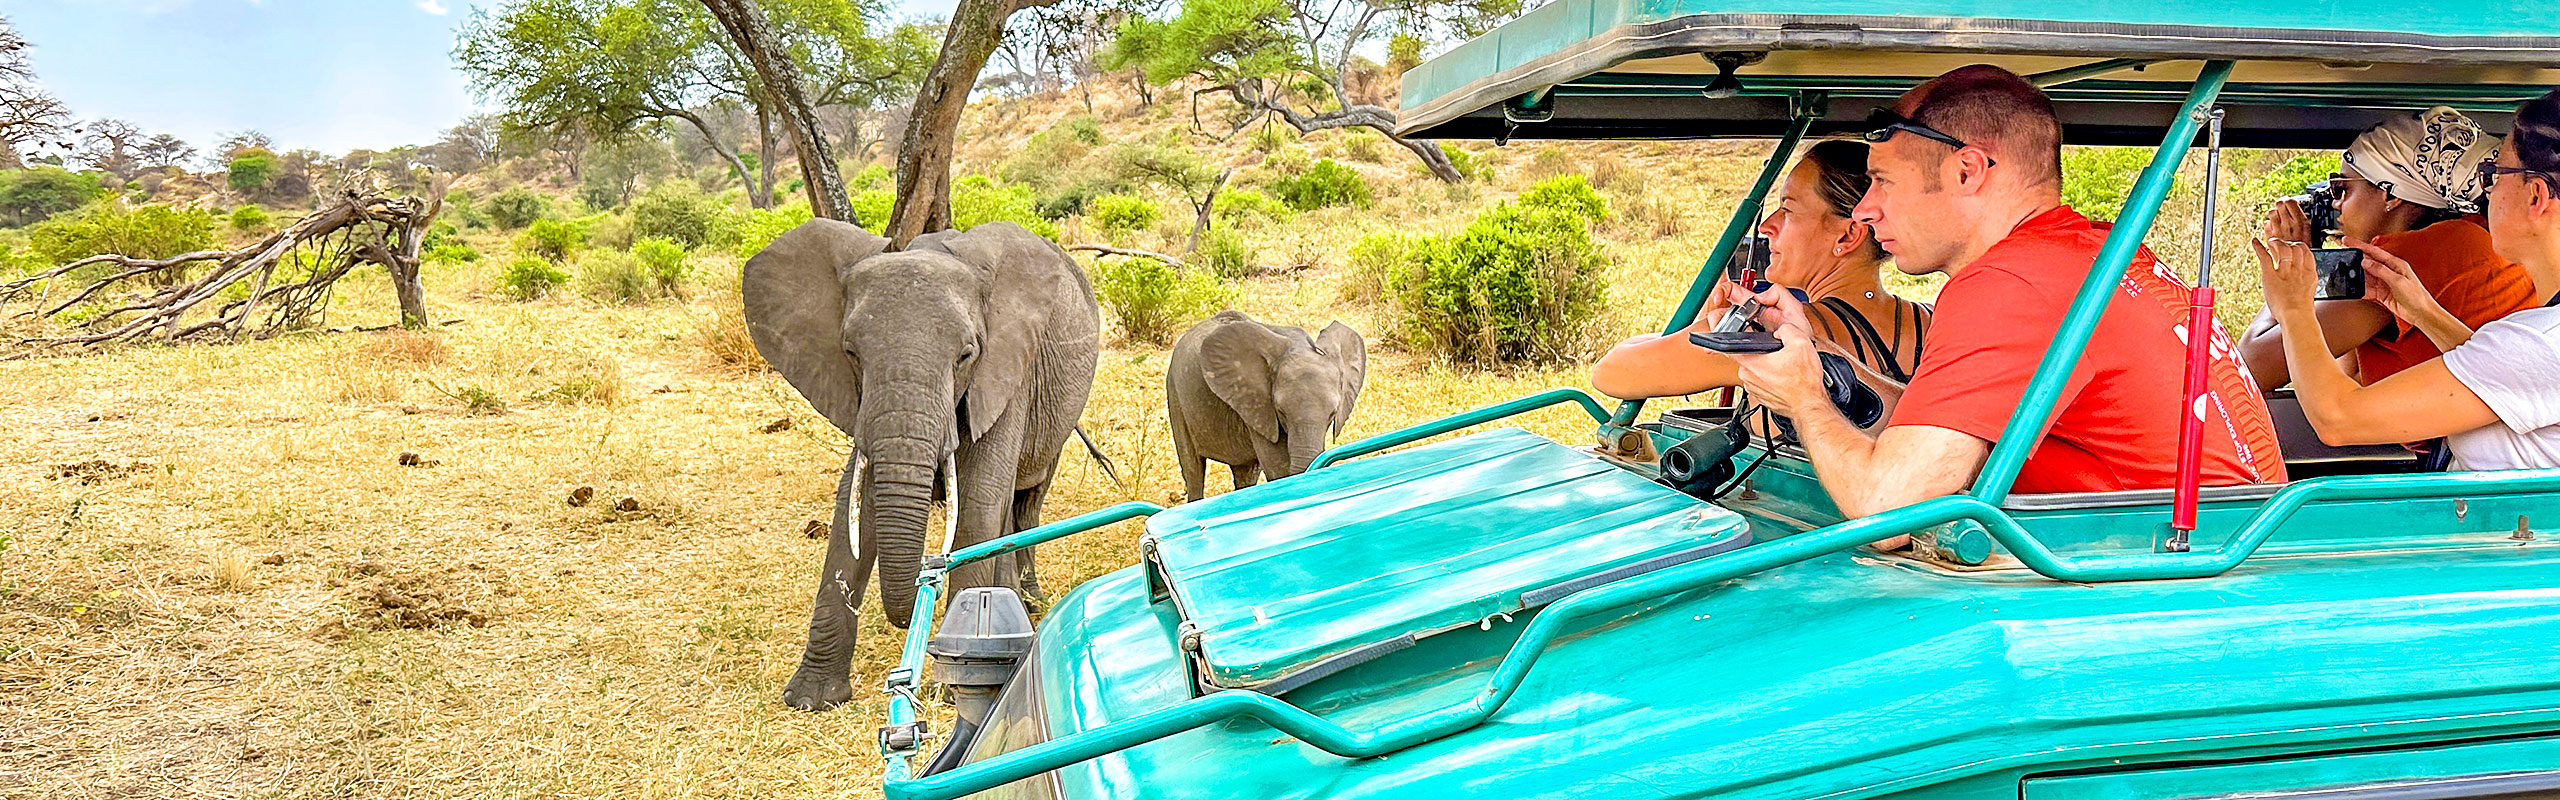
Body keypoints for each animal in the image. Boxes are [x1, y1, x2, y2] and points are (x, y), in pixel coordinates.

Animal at [742, 219, 1100, 712]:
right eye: (850, 353)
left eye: (966, 355)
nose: (912, 604)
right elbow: (854, 507)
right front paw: (811, 698)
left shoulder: (1006, 374)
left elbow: (978, 502)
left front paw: (951, 685)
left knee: (1024, 500)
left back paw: (1027, 602)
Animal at [1172, 311, 1372, 500]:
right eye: (1281, 412)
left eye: (1332, 414)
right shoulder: (1257, 405)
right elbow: (1278, 468)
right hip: (1175, 395)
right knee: (1193, 470)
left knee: (1246, 473)